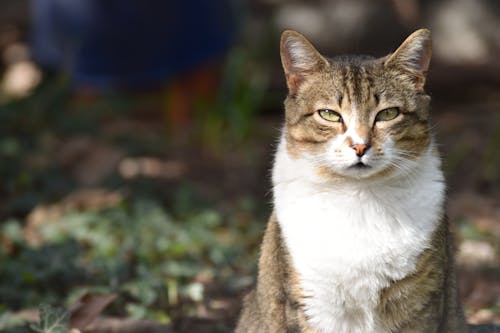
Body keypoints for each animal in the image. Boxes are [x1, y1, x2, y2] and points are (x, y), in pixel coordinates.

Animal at [235, 29, 468, 332]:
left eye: (388, 113)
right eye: (329, 114)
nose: (360, 146)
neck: (358, 195)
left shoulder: (419, 302)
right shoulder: (310, 303)